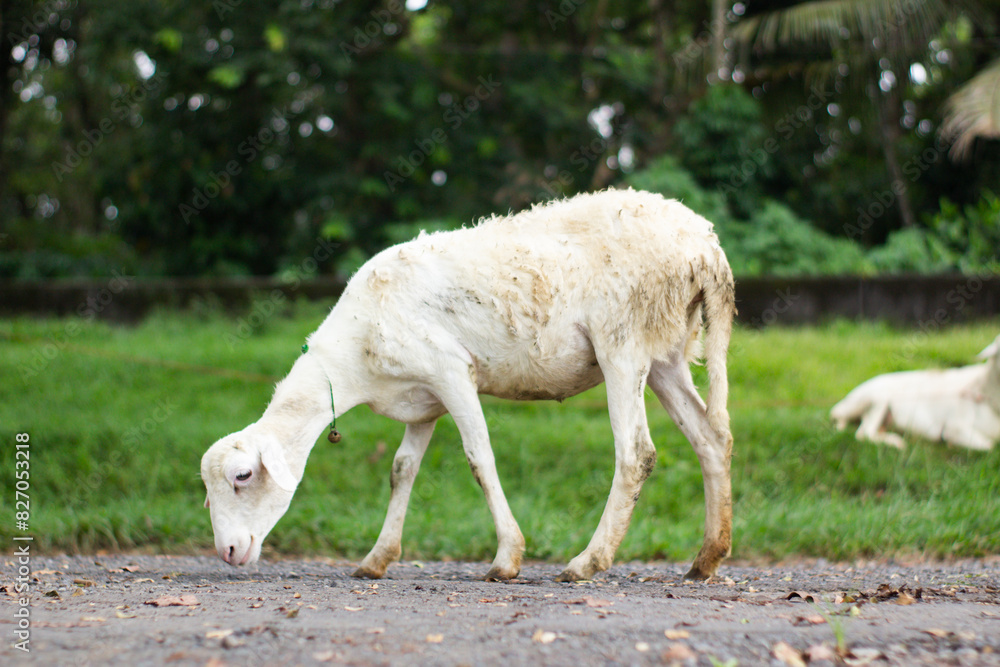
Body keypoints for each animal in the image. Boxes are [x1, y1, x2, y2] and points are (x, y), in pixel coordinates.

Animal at [201, 188, 736, 582]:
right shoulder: (422, 398)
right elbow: (402, 469)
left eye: (242, 476)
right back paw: (707, 558)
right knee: (712, 439)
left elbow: (480, 459)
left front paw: (507, 559)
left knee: (636, 453)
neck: (353, 361)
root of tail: (706, 246)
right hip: (666, 351)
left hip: (622, 342)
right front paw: (377, 559)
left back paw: (587, 562)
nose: (227, 551)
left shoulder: (450, 371)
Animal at [830, 335, 1000, 450]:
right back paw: (896, 442)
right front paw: (951, 444)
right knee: (864, 433)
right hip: (877, 398)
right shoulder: (955, 426)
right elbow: (990, 445)